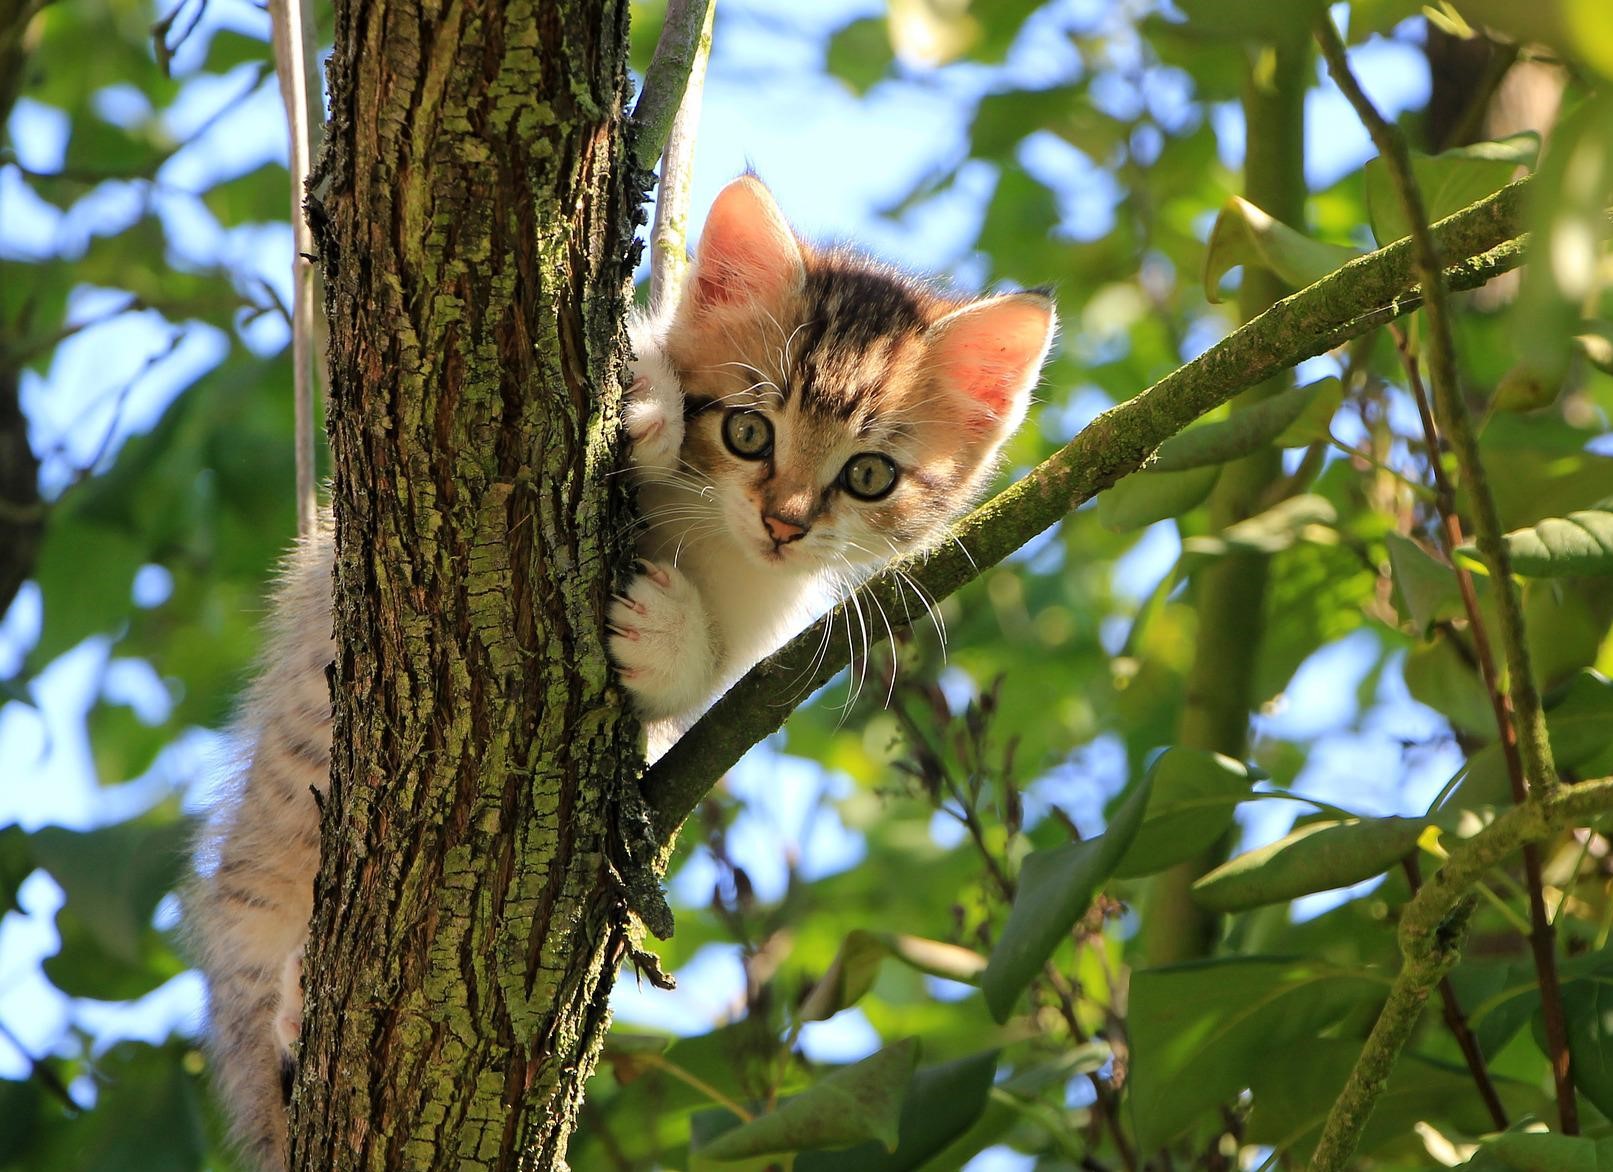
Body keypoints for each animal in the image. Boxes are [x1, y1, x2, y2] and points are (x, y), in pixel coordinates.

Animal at [185, 176, 1058, 1172]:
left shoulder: (758, 632)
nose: (785, 522)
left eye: (869, 475)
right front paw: (646, 402)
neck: (710, 533)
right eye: (749, 429)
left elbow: (701, 685)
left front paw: (667, 633)